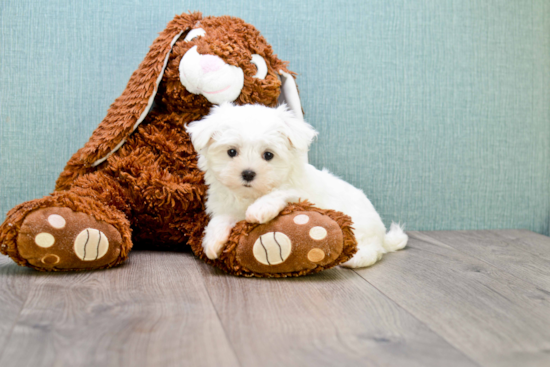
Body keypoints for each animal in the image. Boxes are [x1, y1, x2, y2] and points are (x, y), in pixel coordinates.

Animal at [188, 103, 408, 268]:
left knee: (374, 251)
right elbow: (220, 219)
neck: (250, 195)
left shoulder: (301, 193)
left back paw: (356, 258)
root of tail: (382, 235)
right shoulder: (227, 206)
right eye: (231, 152)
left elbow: (282, 192)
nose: (248, 173)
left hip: (363, 229)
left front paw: (260, 209)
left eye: (268, 155)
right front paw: (212, 241)